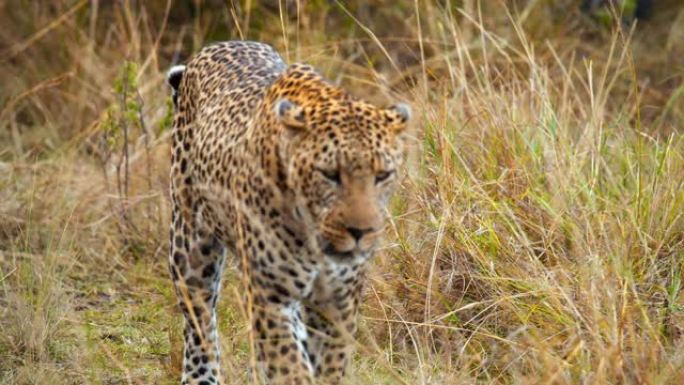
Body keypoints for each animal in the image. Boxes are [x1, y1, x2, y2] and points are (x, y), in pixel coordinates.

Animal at [166, 40, 412, 382]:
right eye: (329, 174)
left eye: (382, 175)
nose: (361, 232)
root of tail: (218, 45)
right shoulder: (269, 295)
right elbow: (289, 365)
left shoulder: (339, 301)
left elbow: (329, 366)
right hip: (190, 246)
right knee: (198, 318)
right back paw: (201, 376)